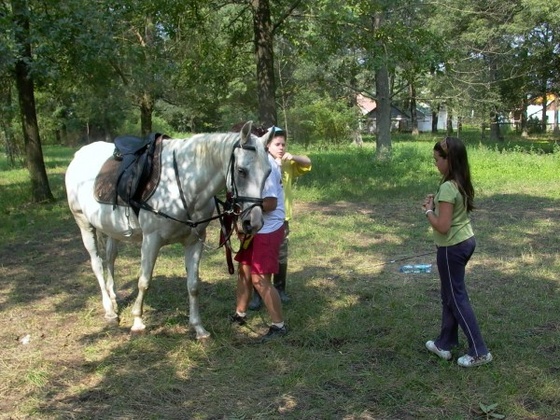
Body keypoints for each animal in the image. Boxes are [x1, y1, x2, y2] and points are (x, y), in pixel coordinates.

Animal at [65, 120, 272, 338]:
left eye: (268, 172)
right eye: (241, 171)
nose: (253, 222)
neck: (184, 185)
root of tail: (79, 155)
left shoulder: (194, 241)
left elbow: (193, 285)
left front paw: (198, 328)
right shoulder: (151, 241)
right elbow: (144, 281)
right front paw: (138, 322)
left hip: (111, 229)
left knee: (110, 258)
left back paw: (113, 299)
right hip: (84, 224)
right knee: (97, 264)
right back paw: (110, 311)